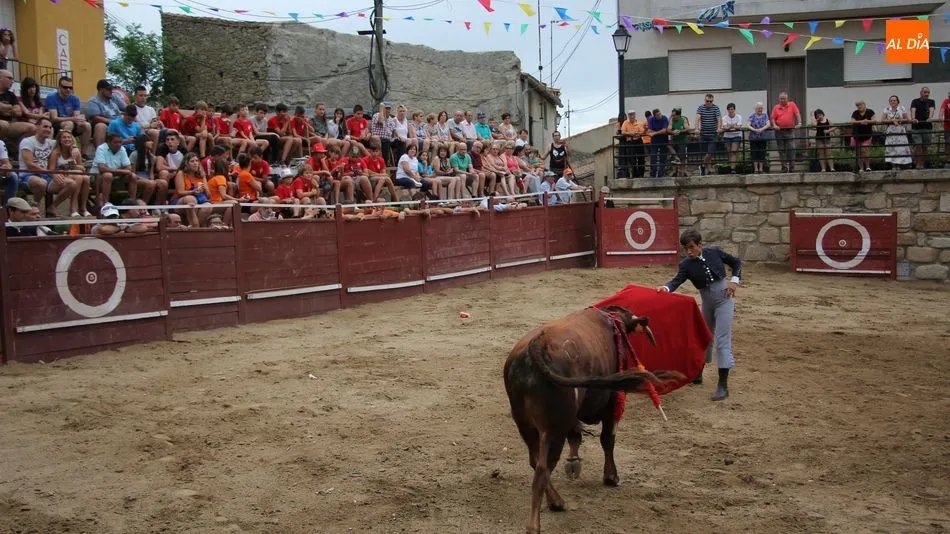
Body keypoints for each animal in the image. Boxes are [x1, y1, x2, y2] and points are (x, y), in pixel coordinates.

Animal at [503, 305, 684, 534]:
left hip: (525, 424)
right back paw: (536, 523)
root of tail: (535, 348)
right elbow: (607, 439)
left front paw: (574, 463)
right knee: (543, 468)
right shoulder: (612, 402)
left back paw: (556, 502)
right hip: (554, 428)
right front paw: (611, 477)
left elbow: (576, 435)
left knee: (536, 462)